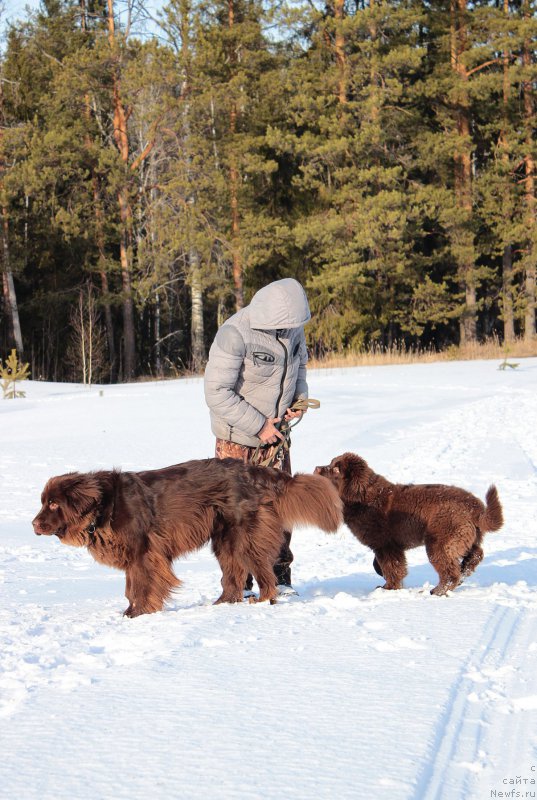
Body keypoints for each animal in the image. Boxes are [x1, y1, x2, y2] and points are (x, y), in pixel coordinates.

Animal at [33, 456, 342, 620]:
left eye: (53, 504)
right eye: (43, 502)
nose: (34, 524)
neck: (103, 506)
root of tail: (259, 472)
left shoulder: (144, 552)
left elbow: (141, 585)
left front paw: (139, 613)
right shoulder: (135, 554)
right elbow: (130, 587)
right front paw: (130, 611)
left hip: (245, 536)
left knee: (263, 572)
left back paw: (264, 600)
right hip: (225, 539)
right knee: (234, 575)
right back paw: (223, 602)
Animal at [314, 450, 502, 592]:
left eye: (336, 470)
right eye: (331, 463)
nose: (316, 468)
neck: (362, 499)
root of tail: (475, 507)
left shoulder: (385, 544)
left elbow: (390, 566)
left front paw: (389, 587)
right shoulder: (387, 545)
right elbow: (381, 564)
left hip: (440, 539)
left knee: (449, 570)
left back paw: (439, 590)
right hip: (466, 536)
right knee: (476, 553)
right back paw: (464, 570)